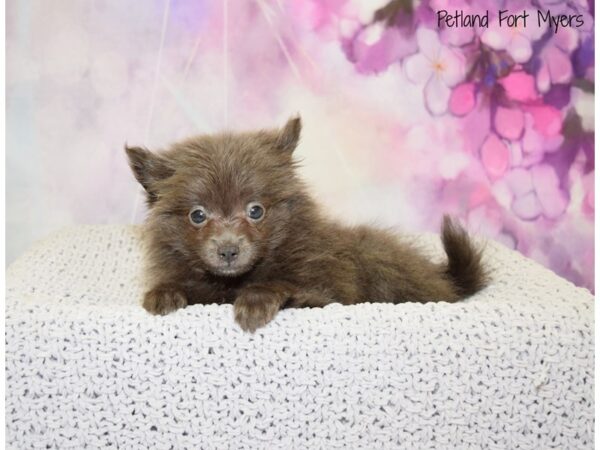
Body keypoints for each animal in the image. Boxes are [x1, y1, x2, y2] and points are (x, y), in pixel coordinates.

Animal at [126, 118, 488, 332]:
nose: (228, 250)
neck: (233, 283)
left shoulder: (323, 290)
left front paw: (255, 301)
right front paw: (163, 294)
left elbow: (286, 287)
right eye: (198, 215)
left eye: (256, 211)